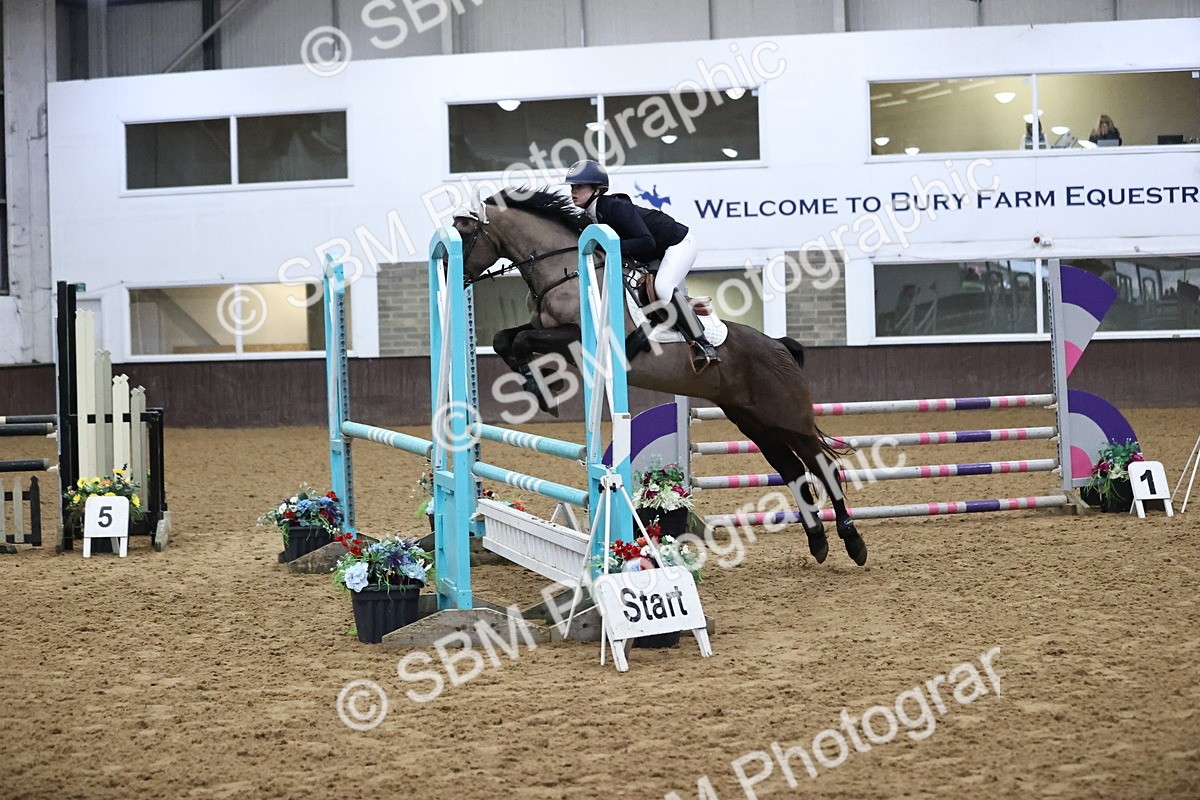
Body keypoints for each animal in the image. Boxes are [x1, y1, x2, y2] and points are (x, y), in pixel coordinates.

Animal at [450, 188, 867, 566]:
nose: (452, 274)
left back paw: (853, 543)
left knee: (822, 467)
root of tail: (780, 346)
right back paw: (818, 542)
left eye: (466, 231)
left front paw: (544, 391)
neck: (563, 270)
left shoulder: (576, 336)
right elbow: (505, 339)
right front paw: (538, 386)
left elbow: (521, 341)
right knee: (792, 470)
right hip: (754, 421)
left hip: (787, 417)